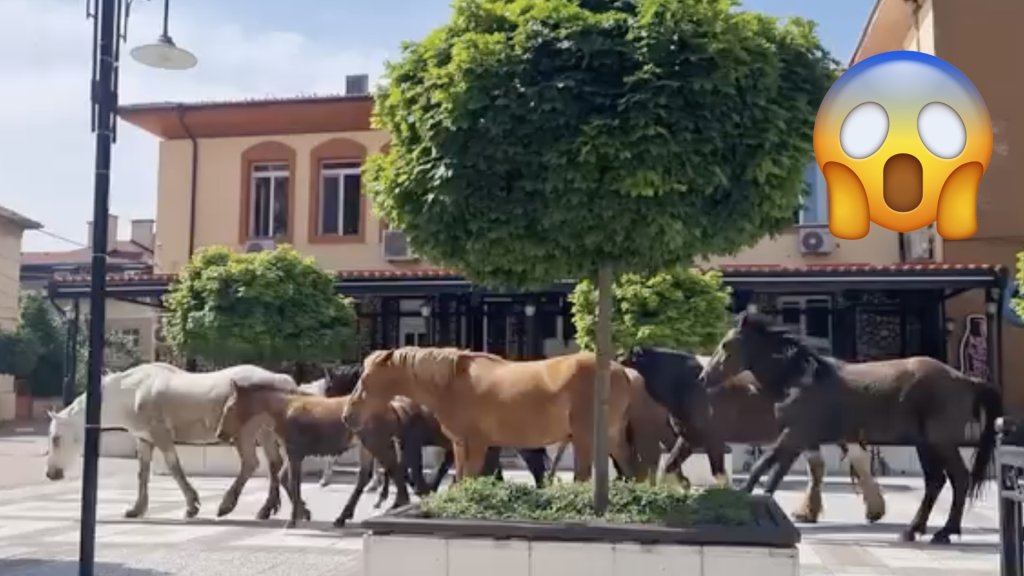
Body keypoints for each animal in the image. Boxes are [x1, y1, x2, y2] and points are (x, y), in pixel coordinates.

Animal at [48, 360, 296, 518]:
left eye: (56, 438)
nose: (51, 474)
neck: (133, 391)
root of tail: (279, 379)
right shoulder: (145, 439)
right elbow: (143, 473)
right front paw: (137, 509)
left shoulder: (161, 435)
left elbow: (174, 467)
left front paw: (192, 506)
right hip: (265, 433)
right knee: (274, 464)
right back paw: (265, 509)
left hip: (246, 434)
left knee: (251, 463)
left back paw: (226, 505)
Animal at [339, 344, 634, 479]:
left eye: (365, 379)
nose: (347, 416)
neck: (452, 383)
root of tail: (622, 370)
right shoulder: (460, 445)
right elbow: (460, 479)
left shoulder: (477, 444)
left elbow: (469, 479)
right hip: (610, 438)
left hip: (586, 439)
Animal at [700, 311, 1003, 541]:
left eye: (726, 346)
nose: (704, 378)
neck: (800, 378)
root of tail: (965, 379)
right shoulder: (799, 439)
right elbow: (776, 474)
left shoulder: (794, 435)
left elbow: (763, 466)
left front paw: (738, 499)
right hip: (924, 443)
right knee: (935, 481)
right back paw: (912, 530)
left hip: (940, 440)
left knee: (959, 478)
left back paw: (945, 532)